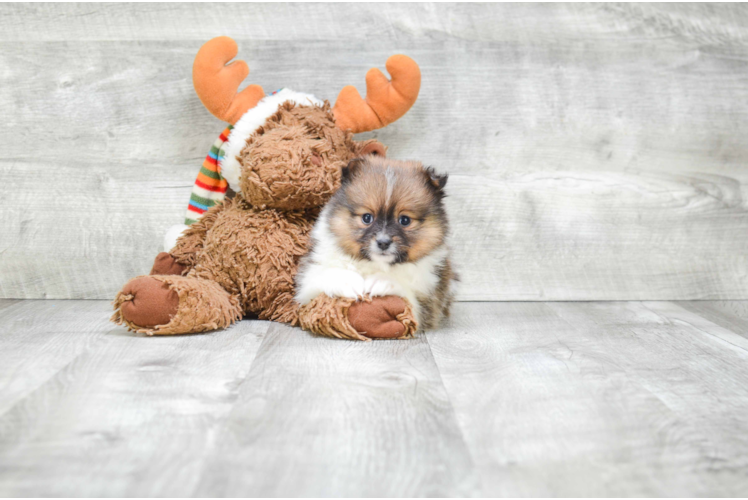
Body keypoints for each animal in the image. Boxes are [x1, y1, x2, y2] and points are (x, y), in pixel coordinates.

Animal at [296, 154, 452, 330]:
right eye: (367, 218)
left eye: (404, 220)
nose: (383, 242)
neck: (376, 264)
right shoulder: (307, 286)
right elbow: (322, 276)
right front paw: (346, 281)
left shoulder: (428, 303)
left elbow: (409, 298)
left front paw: (383, 281)